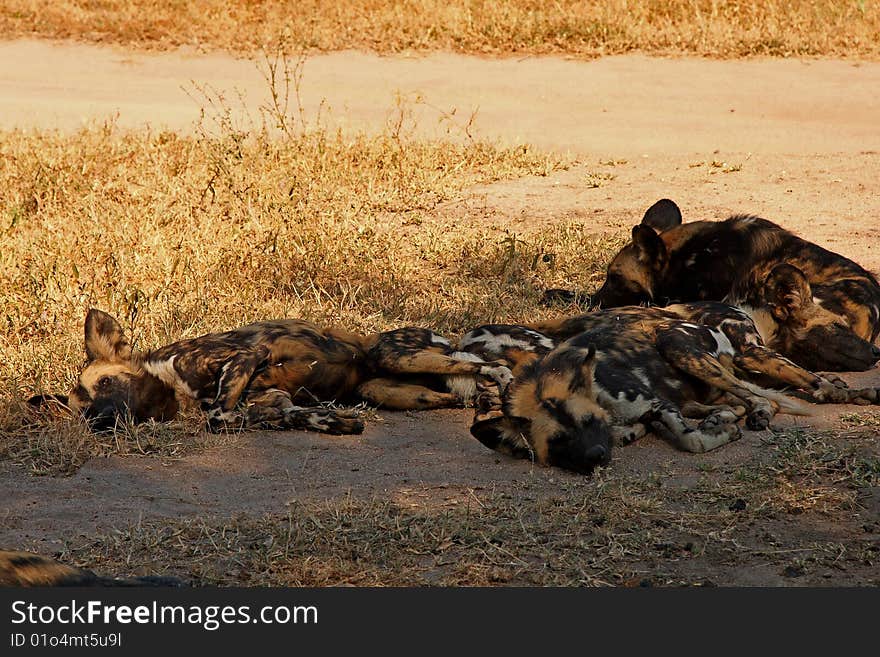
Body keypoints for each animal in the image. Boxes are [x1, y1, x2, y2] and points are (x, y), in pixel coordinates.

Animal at [32, 308, 508, 434]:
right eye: (84, 412)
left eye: (107, 382)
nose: (101, 419)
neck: (172, 390)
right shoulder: (275, 398)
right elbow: (287, 414)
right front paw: (337, 423)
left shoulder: (245, 355)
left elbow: (218, 415)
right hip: (389, 389)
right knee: (459, 391)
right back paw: (486, 403)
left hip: (396, 354)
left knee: (495, 365)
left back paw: (505, 392)